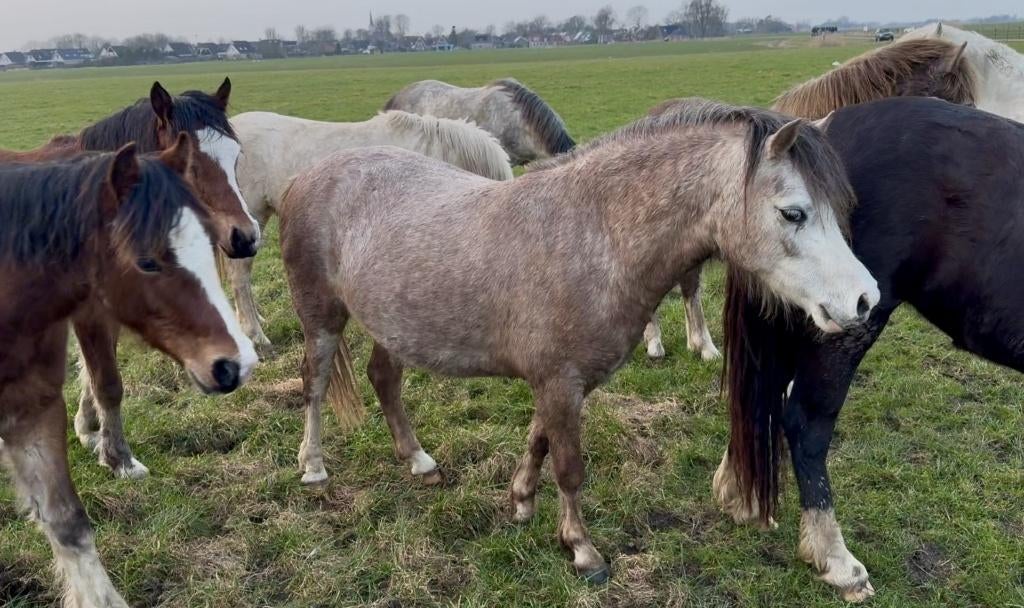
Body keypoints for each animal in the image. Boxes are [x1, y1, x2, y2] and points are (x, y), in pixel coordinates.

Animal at [1, 79, 261, 480]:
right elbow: (106, 381)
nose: (245, 237)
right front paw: (119, 457)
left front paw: (89, 430)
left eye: (235, 157)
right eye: (193, 165)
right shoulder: (88, 314)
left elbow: (93, 375)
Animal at [276, 99, 879, 582]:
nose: (864, 299)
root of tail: (309, 175)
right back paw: (313, 467)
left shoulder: (560, 384)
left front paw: (521, 503)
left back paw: (419, 461)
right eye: (794, 213)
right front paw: (583, 551)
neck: (597, 233)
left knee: (384, 379)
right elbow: (568, 466)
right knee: (315, 384)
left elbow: (539, 441)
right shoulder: (560, 382)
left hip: (394, 324)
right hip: (321, 318)